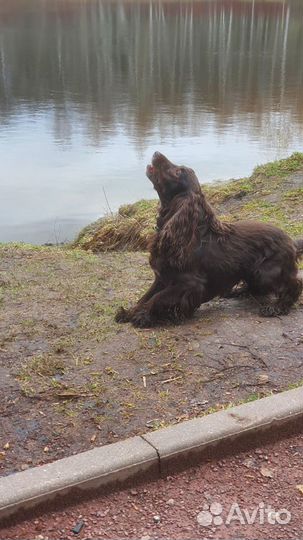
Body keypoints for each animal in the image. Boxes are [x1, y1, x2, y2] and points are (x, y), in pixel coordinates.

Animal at [116, 153, 303, 330]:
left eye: (178, 172)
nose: (156, 153)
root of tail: (291, 242)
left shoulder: (190, 284)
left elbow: (158, 298)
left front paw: (142, 316)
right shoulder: (162, 276)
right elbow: (146, 296)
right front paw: (129, 313)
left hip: (264, 272)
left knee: (294, 284)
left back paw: (277, 307)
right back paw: (238, 291)